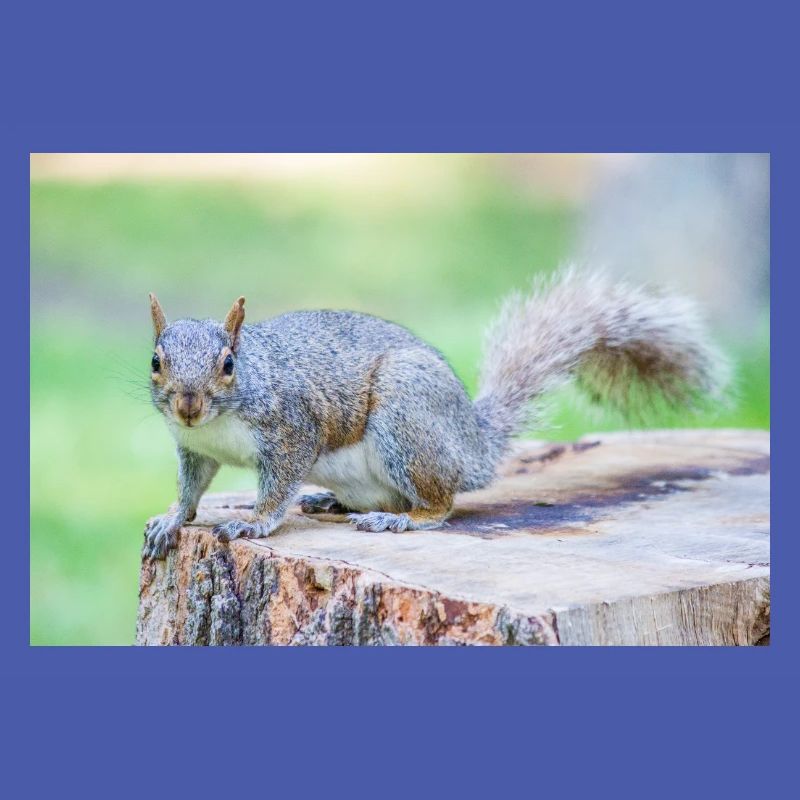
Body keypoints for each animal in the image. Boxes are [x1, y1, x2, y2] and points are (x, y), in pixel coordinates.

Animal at [143, 269, 729, 559]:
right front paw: (171, 519)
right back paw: (331, 501)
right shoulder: (194, 449)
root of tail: (473, 444)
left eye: (228, 364)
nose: (188, 405)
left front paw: (254, 522)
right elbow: (192, 489)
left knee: (441, 504)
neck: (219, 423)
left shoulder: (293, 430)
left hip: (407, 418)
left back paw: (400, 518)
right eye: (155, 361)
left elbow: (277, 484)